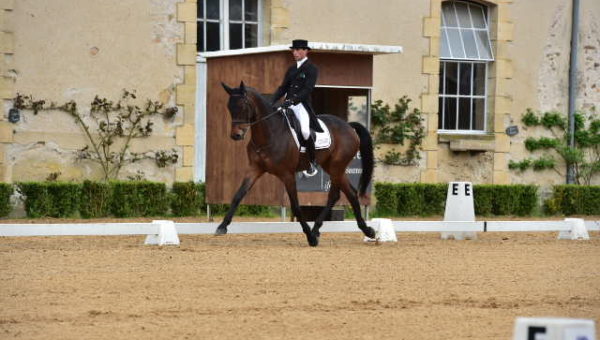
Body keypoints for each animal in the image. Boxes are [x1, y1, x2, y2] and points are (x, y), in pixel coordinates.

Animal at [216, 82, 376, 247]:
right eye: (229, 107)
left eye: (243, 105)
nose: (236, 135)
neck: (270, 133)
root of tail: (349, 126)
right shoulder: (254, 169)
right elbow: (238, 196)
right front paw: (222, 226)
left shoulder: (287, 174)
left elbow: (296, 206)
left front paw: (310, 237)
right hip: (332, 167)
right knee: (349, 193)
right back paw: (364, 230)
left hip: (336, 167)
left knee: (335, 195)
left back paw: (319, 231)